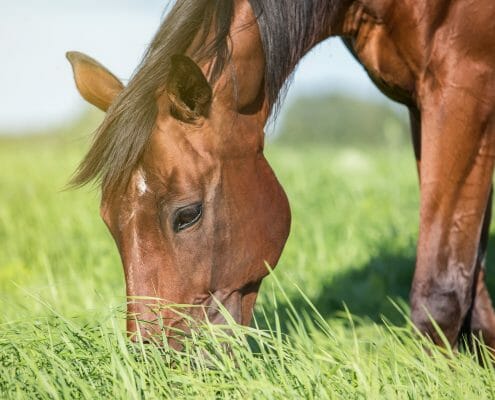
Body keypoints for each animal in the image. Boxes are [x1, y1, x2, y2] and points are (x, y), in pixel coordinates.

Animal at [68, 0, 495, 350]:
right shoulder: (421, 104)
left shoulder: (461, 88)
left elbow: (441, 290)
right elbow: (470, 271)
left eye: (187, 214)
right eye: (108, 220)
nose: (155, 360)